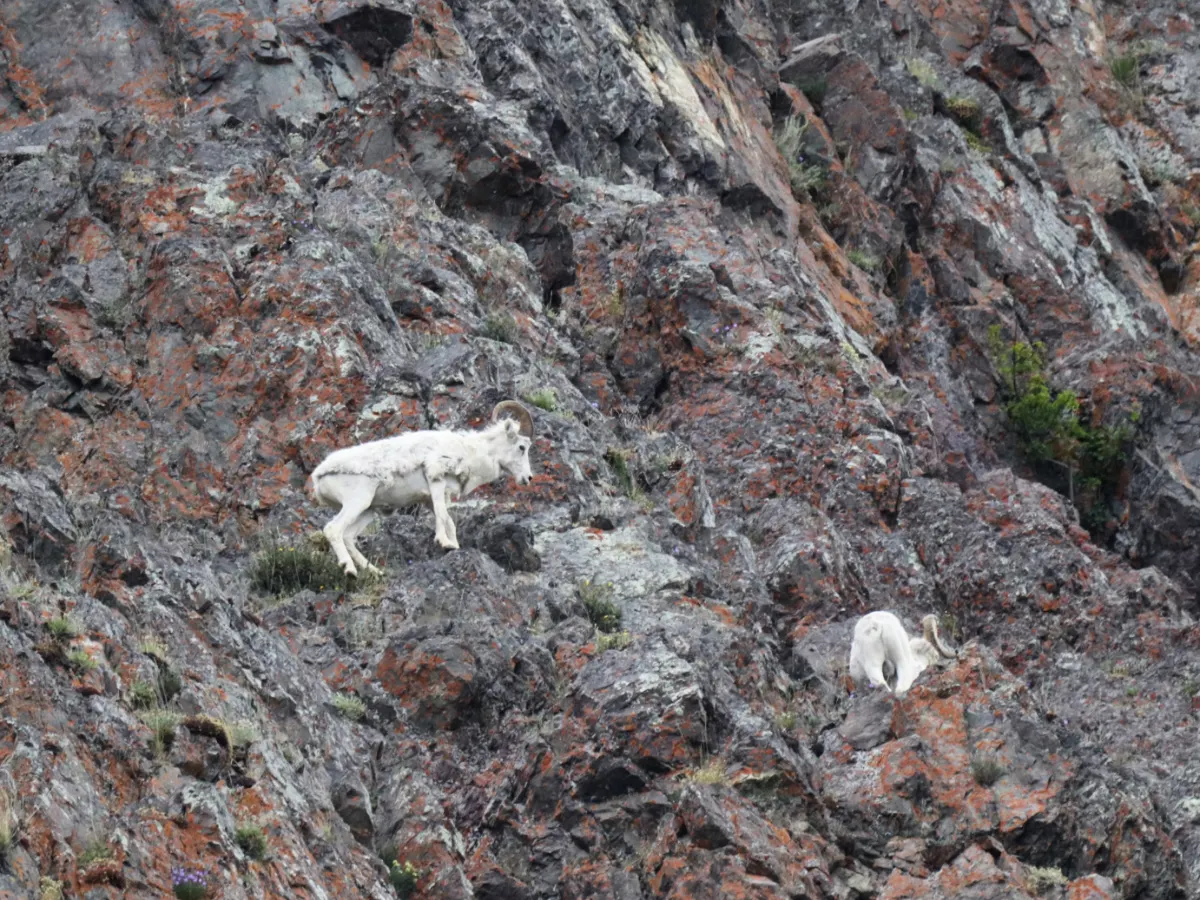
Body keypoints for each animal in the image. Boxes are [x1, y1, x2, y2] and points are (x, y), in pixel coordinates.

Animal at [309, 400, 535, 578]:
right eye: (522, 447)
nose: (528, 478)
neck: (471, 453)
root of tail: (318, 478)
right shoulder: (436, 480)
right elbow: (443, 516)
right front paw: (445, 543)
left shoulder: (431, 498)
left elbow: (448, 520)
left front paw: (454, 546)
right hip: (357, 502)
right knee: (333, 529)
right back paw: (349, 570)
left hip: (368, 511)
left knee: (348, 536)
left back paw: (375, 572)